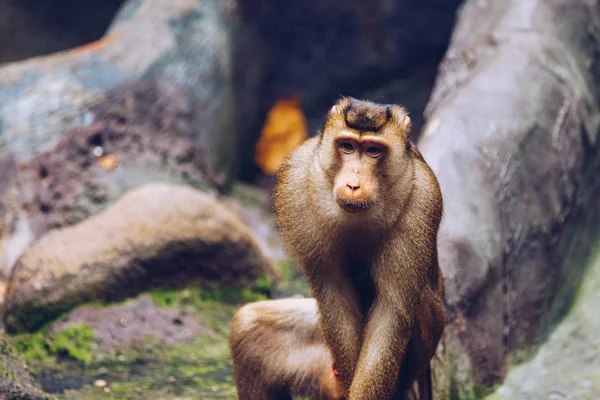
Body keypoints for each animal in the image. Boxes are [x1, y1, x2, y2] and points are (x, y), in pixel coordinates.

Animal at [274, 97, 442, 400]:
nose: (353, 184)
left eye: (373, 150)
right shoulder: (295, 182)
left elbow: (390, 315)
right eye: (348, 146)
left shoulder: (423, 200)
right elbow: (335, 296)